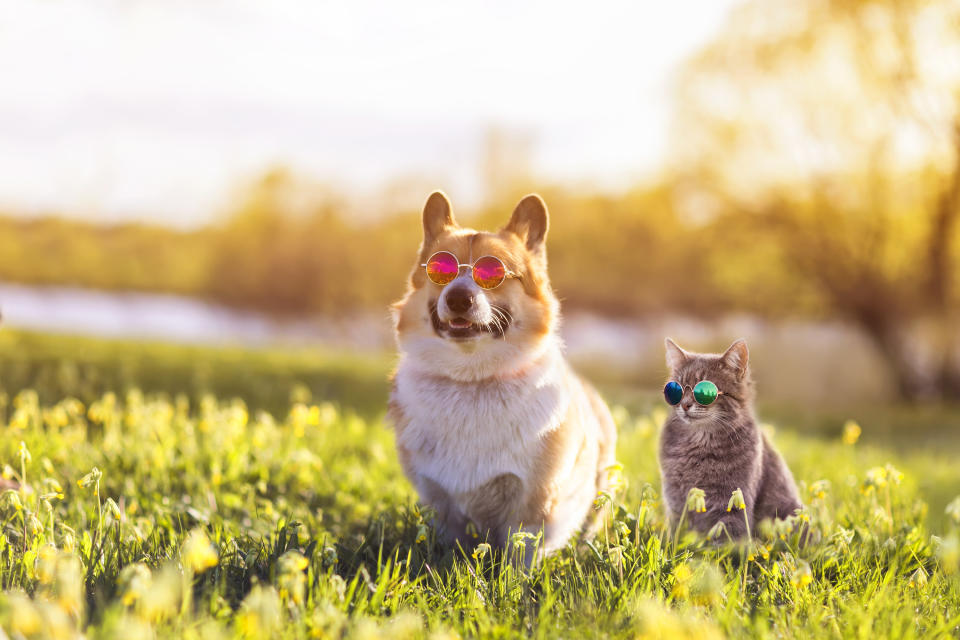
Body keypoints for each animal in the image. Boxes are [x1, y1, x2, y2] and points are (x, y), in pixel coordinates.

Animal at [388, 190, 620, 556]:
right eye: (441, 270)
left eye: (491, 272)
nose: (459, 298)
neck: (472, 378)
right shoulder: (442, 505)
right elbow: (454, 548)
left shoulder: (530, 506)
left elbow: (517, 557)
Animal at [660, 338, 804, 536]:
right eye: (676, 389)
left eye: (704, 391)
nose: (685, 404)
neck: (698, 445)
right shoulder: (676, 502)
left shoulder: (731, 502)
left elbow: (726, 538)